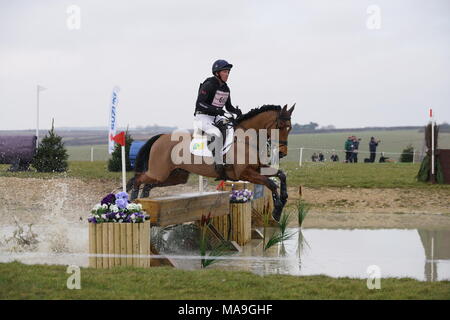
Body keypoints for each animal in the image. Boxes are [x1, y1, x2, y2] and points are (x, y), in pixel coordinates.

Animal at [126, 104, 296, 221]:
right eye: (280, 126)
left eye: (290, 128)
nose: (282, 153)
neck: (247, 139)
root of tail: (160, 137)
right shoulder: (245, 173)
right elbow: (271, 183)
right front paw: (277, 210)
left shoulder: (258, 168)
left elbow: (281, 175)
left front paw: (283, 199)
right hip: (159, 172)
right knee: (137, 179)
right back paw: (133, 200)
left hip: (175, 176)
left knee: (148, 184)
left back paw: (143, 199)